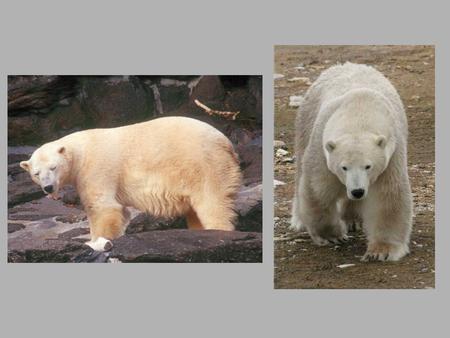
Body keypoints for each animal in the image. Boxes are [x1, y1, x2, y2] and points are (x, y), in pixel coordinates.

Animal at [20, 116, 243, 251]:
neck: (80, 151)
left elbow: (104, 208)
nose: (48, 188)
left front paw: (96, 242)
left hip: (204, 165)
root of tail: (226, 142)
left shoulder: (96, 169)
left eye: (53, 167)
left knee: (212, 203)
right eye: (36, 173)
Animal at [290, 62, 414, 262]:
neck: (359, 109)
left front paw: (381, 251)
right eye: (344, 167)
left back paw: (352, 219)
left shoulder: (391, 155)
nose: (357, 191)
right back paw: (299, 220)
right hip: (306, 120)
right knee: (301, 167)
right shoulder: (321, 146)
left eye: (368, 166)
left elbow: (388, 197)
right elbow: (318, 189)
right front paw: (332, 236)